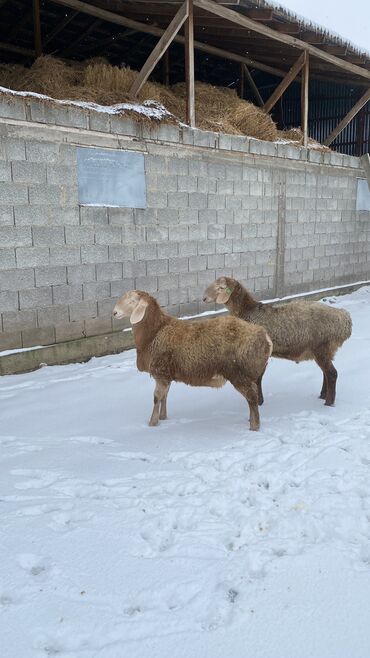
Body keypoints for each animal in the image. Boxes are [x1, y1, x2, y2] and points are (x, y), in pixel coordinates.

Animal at [112, 290, 272, 428]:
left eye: (132, 301)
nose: (114, 313)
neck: (155, 331)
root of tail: (264, 336)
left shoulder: (161, 372)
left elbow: (157, 398)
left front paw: (152, 423)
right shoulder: (167, 374)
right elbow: (165, 396)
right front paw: (163, 417)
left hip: (239, 373)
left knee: (252, 398)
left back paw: (254, 426)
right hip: (248, 374)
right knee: (253, 398)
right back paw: (251, 420)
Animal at [204, 276, 352, 404]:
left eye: (221, 287)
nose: (204, 298)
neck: (248, 311)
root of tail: (344, 319)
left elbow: (258, 378)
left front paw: (259, 401)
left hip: (322, 347)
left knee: (332, 374)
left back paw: (328, 403)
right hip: (326, 351)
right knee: (326, 373)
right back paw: (322, 396)